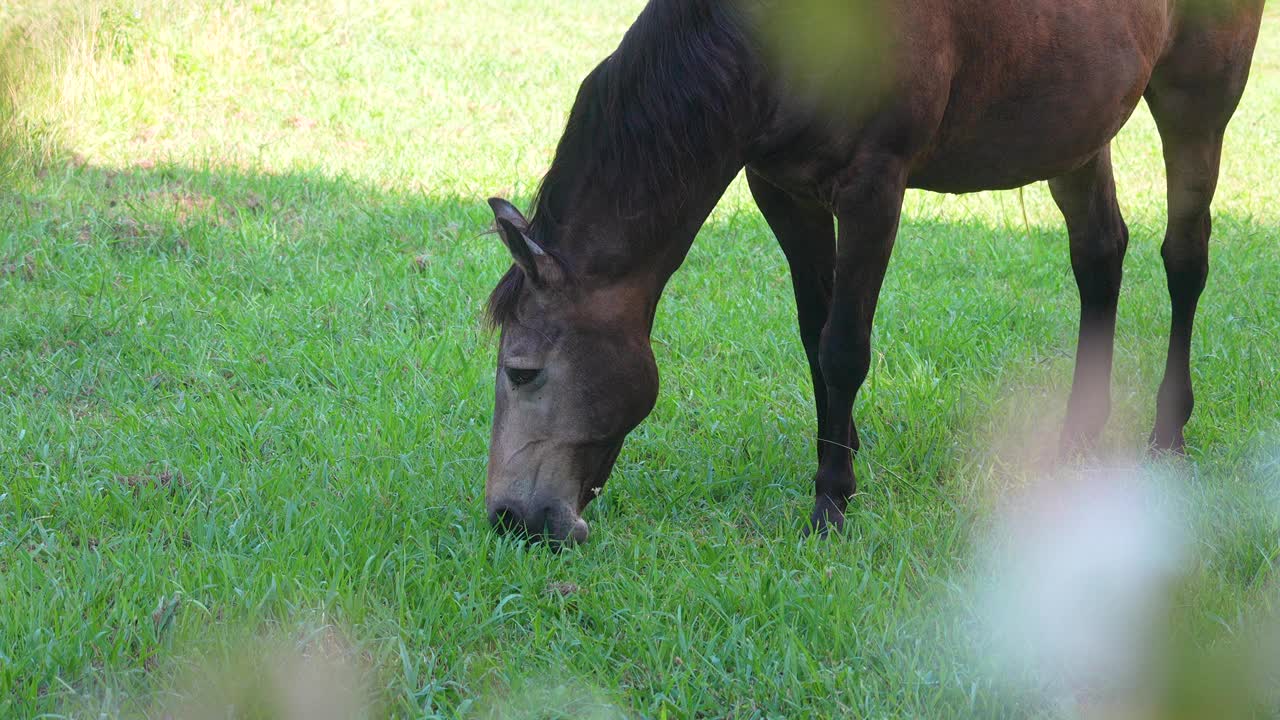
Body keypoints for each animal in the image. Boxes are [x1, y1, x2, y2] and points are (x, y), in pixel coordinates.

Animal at [481, 0, 1269, 540]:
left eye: (522, 372)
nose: (509, 518)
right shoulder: (782, 189)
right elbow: (813, 333)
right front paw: (843, 450)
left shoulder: (873, 188)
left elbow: (842, 349)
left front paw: (832, 498)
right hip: (1078, 126)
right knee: (1100, 256)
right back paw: (1077, 435)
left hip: (1197, 103)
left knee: (1185, 262)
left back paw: (1167, 431)